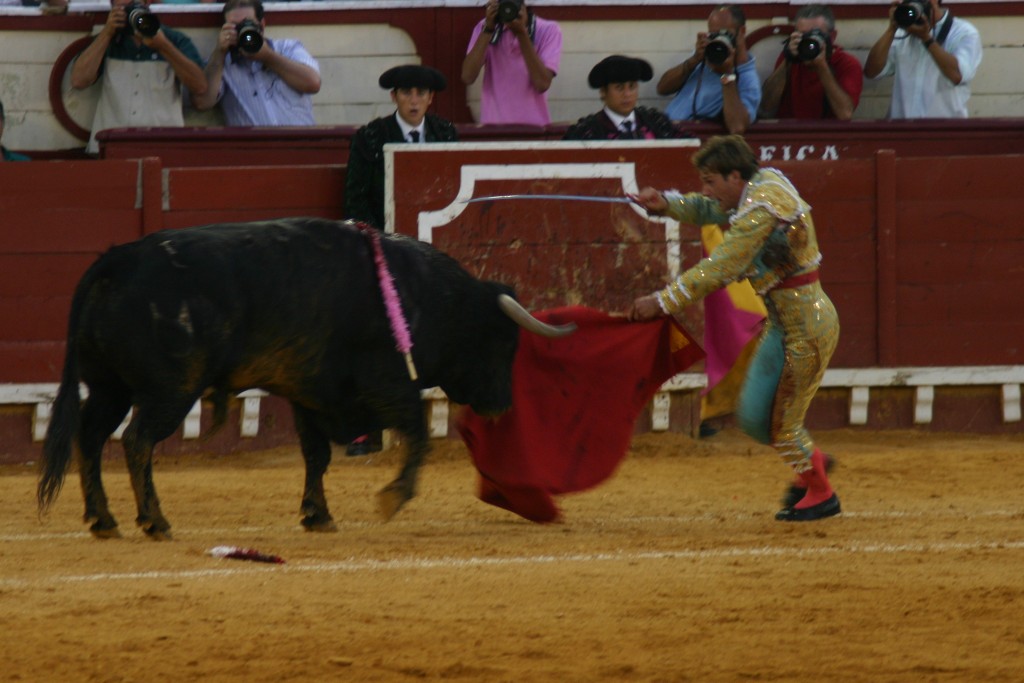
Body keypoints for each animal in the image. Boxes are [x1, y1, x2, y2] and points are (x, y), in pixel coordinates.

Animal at [36, 219, 577, 540]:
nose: (501, 405)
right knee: (137, 441)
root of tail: (117, 259)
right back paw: (154, 520)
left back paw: (103, 520)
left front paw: (318, 515)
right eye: (503, 342)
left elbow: (316, 456)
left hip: (110, 388)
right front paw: (393, 497)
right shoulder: (388, 384)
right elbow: (418, 434)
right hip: (169, 391)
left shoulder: (309, 394)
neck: (427, 296)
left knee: (91, 437)